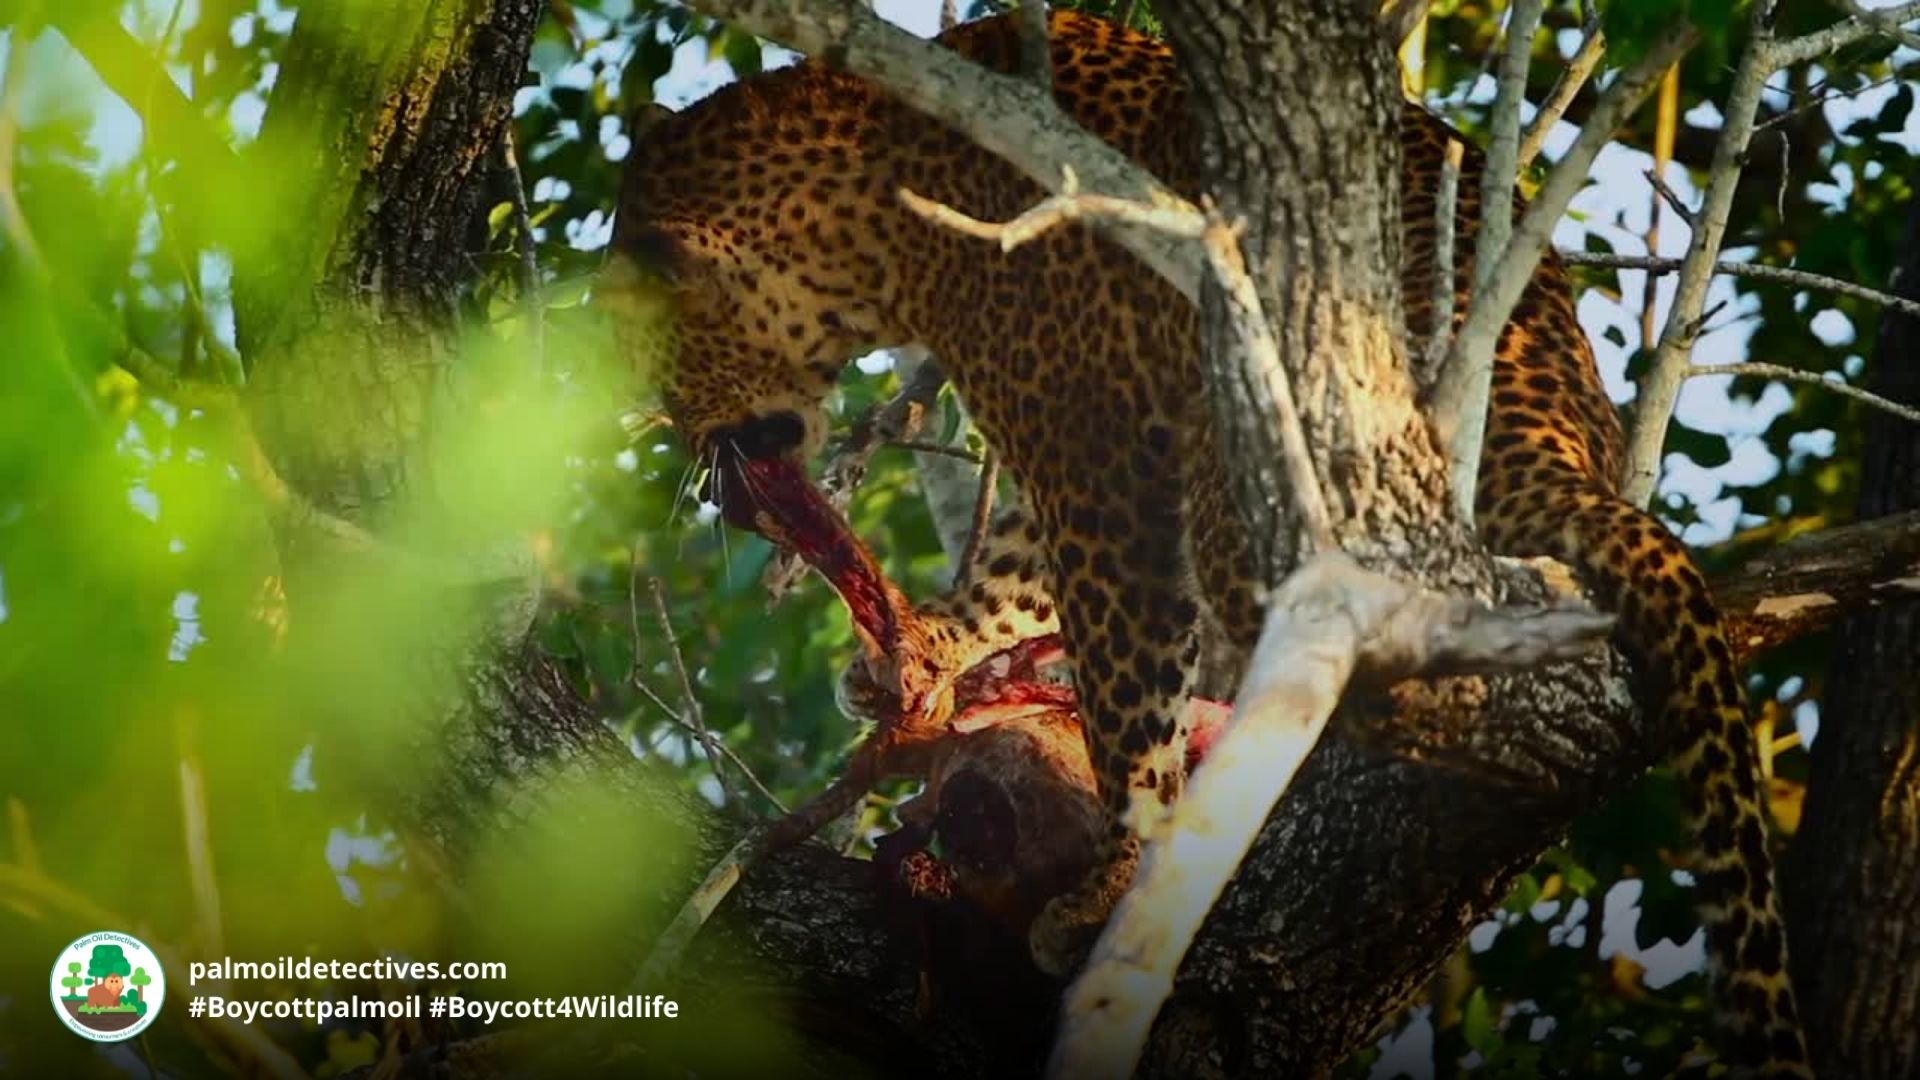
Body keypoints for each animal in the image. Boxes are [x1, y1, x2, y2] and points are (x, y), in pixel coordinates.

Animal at [605, 10, 1809, 1075]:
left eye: (670, 380)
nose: (714, 487)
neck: (868, 219)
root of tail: (1547, 418)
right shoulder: (1102, 433)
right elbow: (1013, 570)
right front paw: (925, 649)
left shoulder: (1095, 458)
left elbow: (1123, 688)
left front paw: (1114, 877)